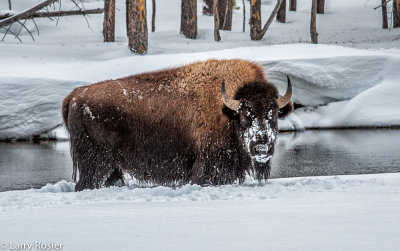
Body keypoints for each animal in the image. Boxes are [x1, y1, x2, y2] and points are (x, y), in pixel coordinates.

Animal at [63, 59, 294, 192]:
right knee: (85, 184)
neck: (227, 111)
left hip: (111, 166)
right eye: (246, 115)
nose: (261, 147)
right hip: (96, 163)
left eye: (274, 115)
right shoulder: (210, 167)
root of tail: (75, 95)